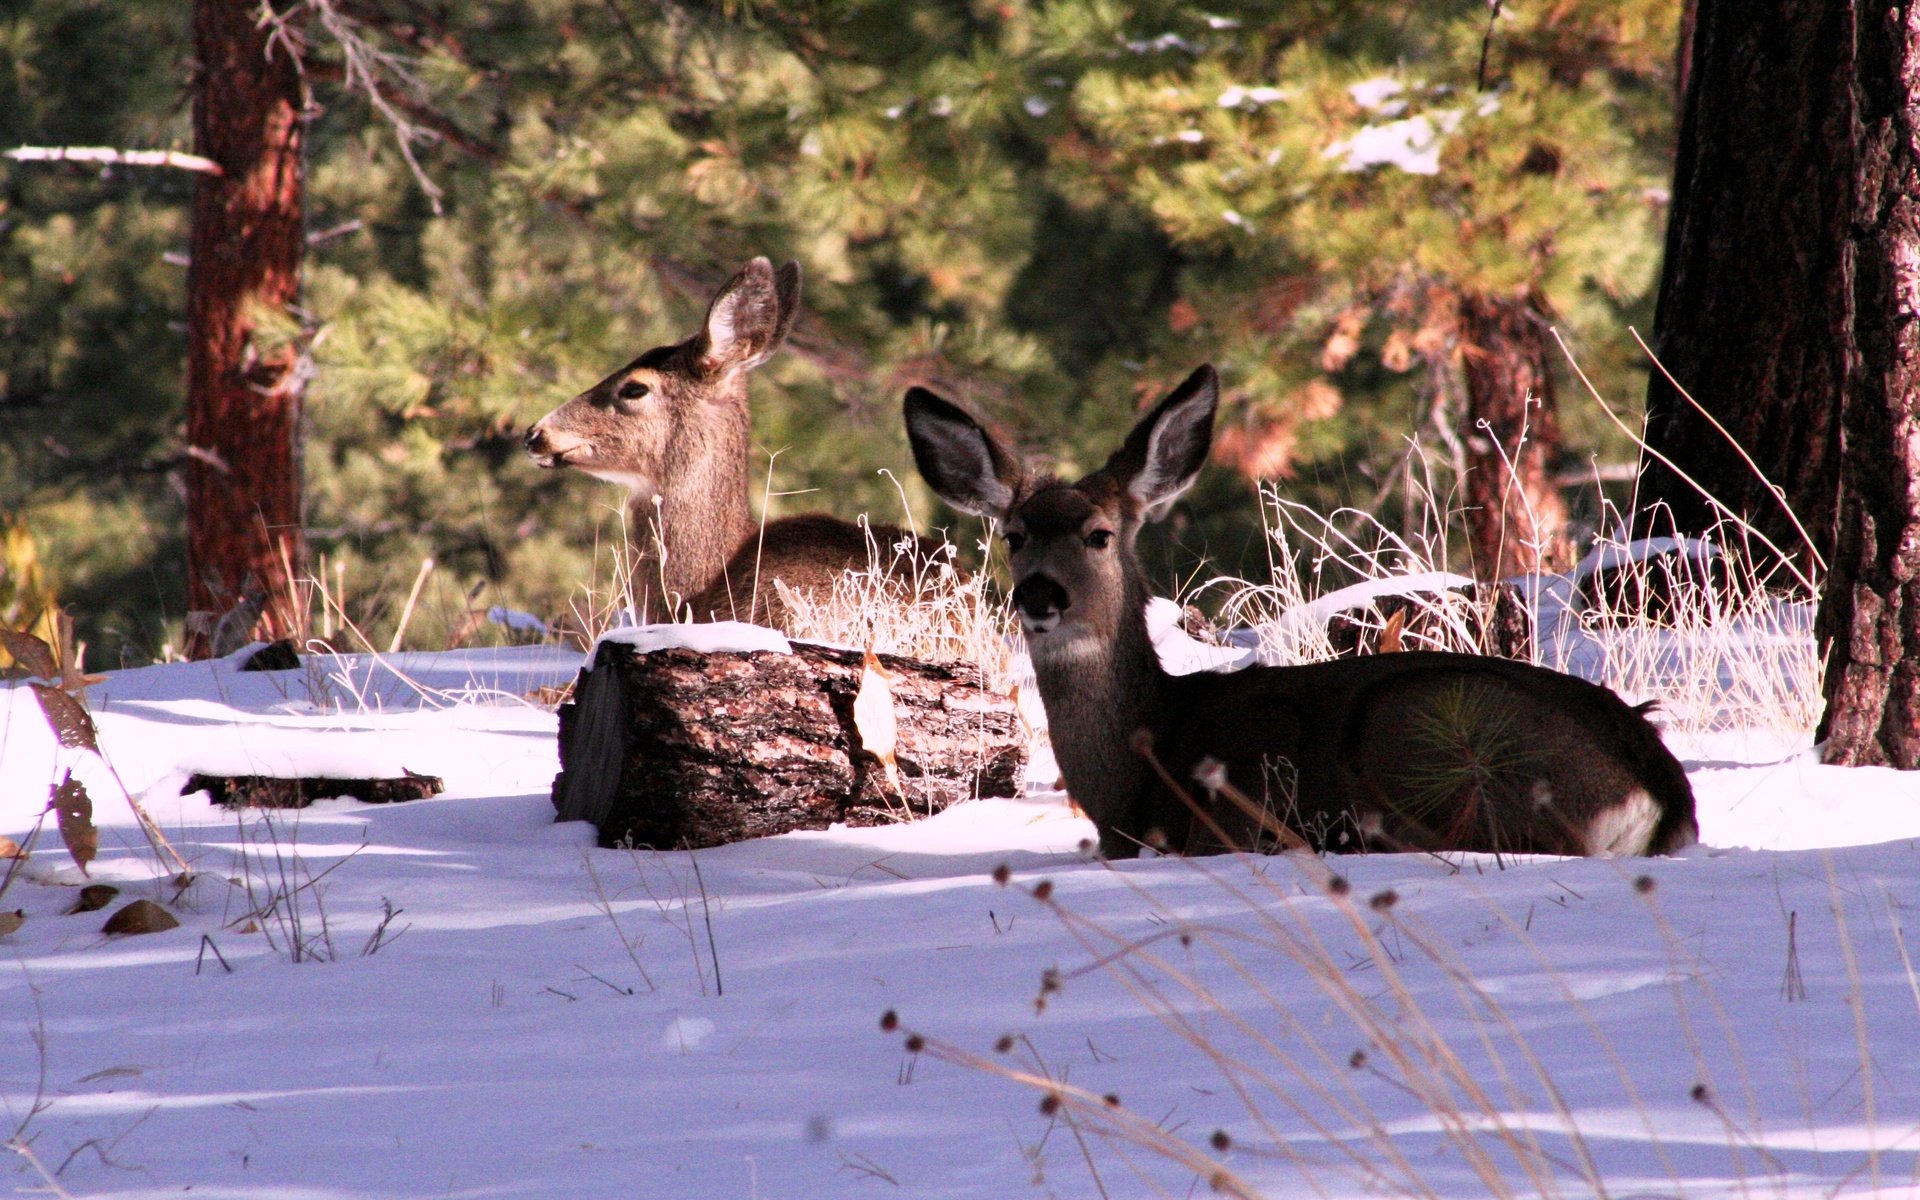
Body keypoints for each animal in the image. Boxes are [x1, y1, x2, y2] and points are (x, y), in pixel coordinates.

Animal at [898, 364, 1697, 860]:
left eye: (1098, 534)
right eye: (1014, 536)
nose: (1039, 594)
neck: (1136, 774)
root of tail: (1659, 794)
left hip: (1417, 724)